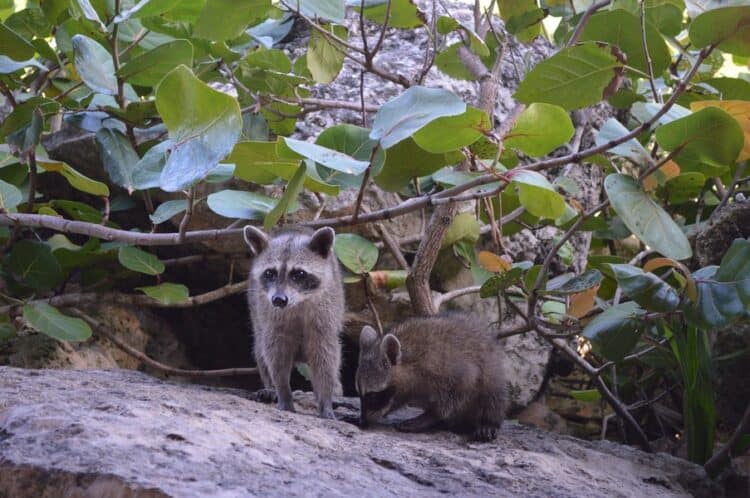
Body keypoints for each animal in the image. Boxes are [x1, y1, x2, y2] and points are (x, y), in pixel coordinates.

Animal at [244, 225, 344, 419]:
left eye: (299, 274)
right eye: (270, 273)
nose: (278, 300)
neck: (298, 302)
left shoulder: (326, 317)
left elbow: (326, 358)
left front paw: (326, 400)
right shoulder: (271, 319)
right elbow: (275, 355)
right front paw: (283, 392)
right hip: (256, 315)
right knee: (260, 348)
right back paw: (270, 388)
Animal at [356, 313, 507, 441]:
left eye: (372, 395)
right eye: (359, 394)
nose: (362, 422)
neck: (406, 360)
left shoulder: (447, 367)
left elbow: (458, 391)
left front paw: (432, 416)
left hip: (492, 372)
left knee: (492, 394)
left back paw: (489, 420)